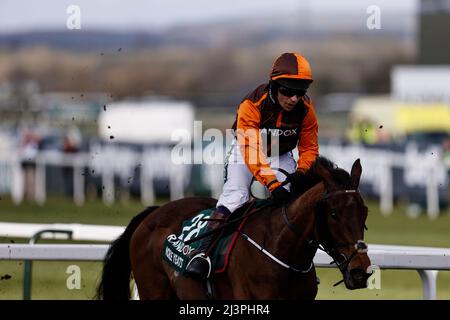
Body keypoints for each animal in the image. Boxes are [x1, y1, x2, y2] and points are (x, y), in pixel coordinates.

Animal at [96, 158, 370, 300]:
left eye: (364, 212)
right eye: (333, 214)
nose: (360, 272)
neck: (281, 247)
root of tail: (153, 213)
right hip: (153, 289)